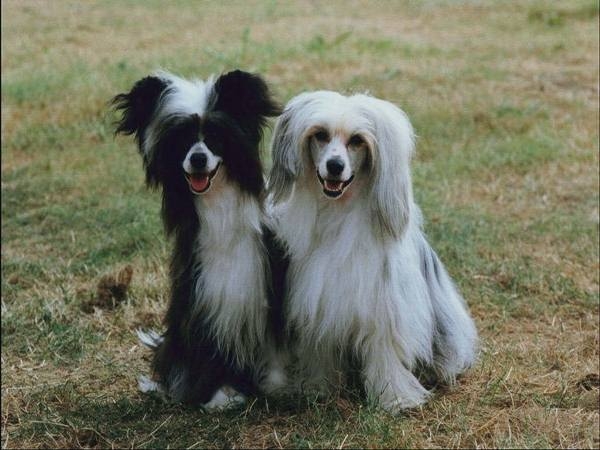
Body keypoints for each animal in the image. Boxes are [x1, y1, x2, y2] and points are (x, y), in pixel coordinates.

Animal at [115, 68, 288, 410]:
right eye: (183, 141)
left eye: (215, 138)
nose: (197, 159)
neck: (217, 203)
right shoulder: (202, 295)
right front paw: (219, 395)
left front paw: (278, 385)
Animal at [268, 90, 478, 412]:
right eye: (320, 135)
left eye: (357, 140)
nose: (335, 166)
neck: (337, 212)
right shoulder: (318, 303)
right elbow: (319, 349)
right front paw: (317, 388)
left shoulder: (383, 308)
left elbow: (385, 354)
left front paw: (396, 399)